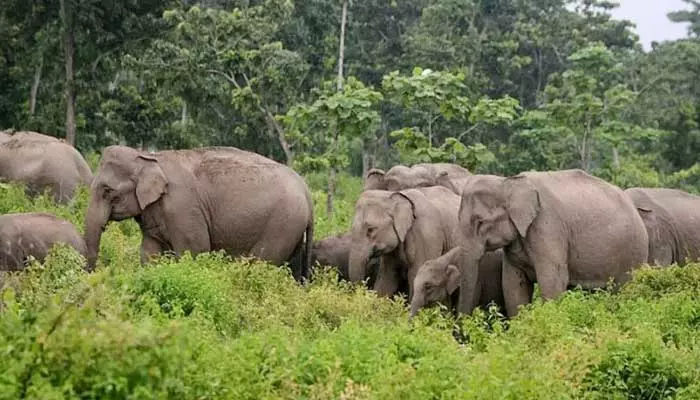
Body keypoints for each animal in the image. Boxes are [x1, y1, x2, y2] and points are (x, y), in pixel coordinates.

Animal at [82, 145, 314, 282]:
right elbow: (149, 252)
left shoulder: (183, 210)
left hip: (281, 225)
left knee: (261, 265)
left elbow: (194, 250)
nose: (93, 275)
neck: (150, 157)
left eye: (107, 191)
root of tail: (306, 189)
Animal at [456, 170, 648, 318]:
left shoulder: (548, 227)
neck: (508, 182)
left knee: (624, 290)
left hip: (634, 251)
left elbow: (553, 280)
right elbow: (513, 284)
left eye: (480, 222)